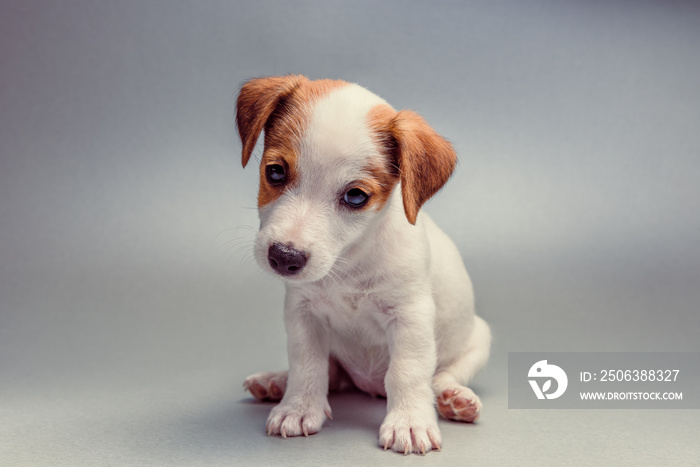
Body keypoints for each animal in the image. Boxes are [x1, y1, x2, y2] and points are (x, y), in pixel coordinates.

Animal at [238, 75, 490, 456]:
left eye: (356, 196)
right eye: (276, 172)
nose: (284, 257)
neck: (349, 263)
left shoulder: (411, 317)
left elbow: (408, 371)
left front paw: (409, 422)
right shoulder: (302, 313)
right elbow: (306, 363)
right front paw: (298, 407)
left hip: (478, 340)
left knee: (441, 375)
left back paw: (454, 399)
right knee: (331, 375)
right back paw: (276, 382)